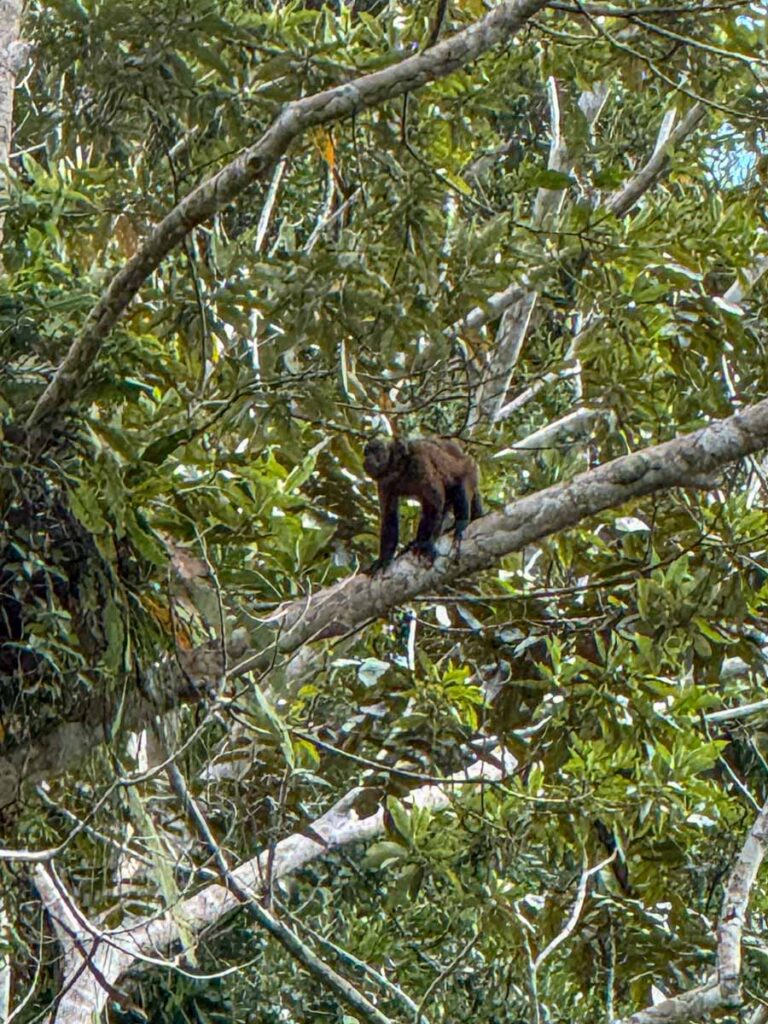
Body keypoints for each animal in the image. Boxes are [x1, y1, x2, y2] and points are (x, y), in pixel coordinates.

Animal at [363, 437, 483, 572]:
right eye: (366, 452)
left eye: (376, 450)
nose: (367, 458)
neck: (397, 468)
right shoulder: (384, 483)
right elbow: (389, 516)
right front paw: (383, 559)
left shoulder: (419, 462)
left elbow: (435, 501)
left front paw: (425, 544)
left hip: (471, 470)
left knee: (459, 484)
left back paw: (461, 523)